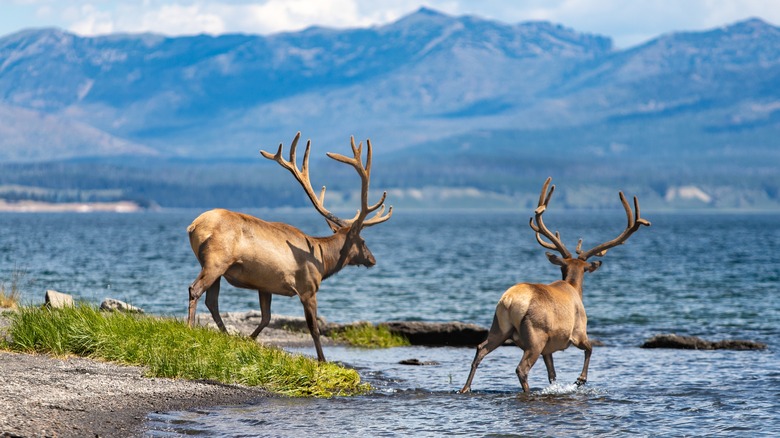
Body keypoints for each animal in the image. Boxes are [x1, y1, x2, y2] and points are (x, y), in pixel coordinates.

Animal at [187, 132, 394, 362]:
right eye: (363, 241)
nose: (373, 259)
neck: (323, 262)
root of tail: (194, 226)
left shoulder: (265, 285)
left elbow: (266, 318)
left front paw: (248, 340)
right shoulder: (307, 288)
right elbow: (313, 328)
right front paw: (322, 360)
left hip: (214, 267)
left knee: (212, 301)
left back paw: (224, 334)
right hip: (216, 261)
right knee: (195, 290)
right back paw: (189, 328)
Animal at [460, 178, 648, 394]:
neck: (574, 288)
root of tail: (509, 301)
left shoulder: (548, 350)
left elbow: (552, 374)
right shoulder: (578, 331)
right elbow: (590, 348)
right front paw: (580, 379)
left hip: (499, 326)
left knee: (480, 349)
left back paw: (465, 388)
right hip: (535, 335)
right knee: (521, 368)